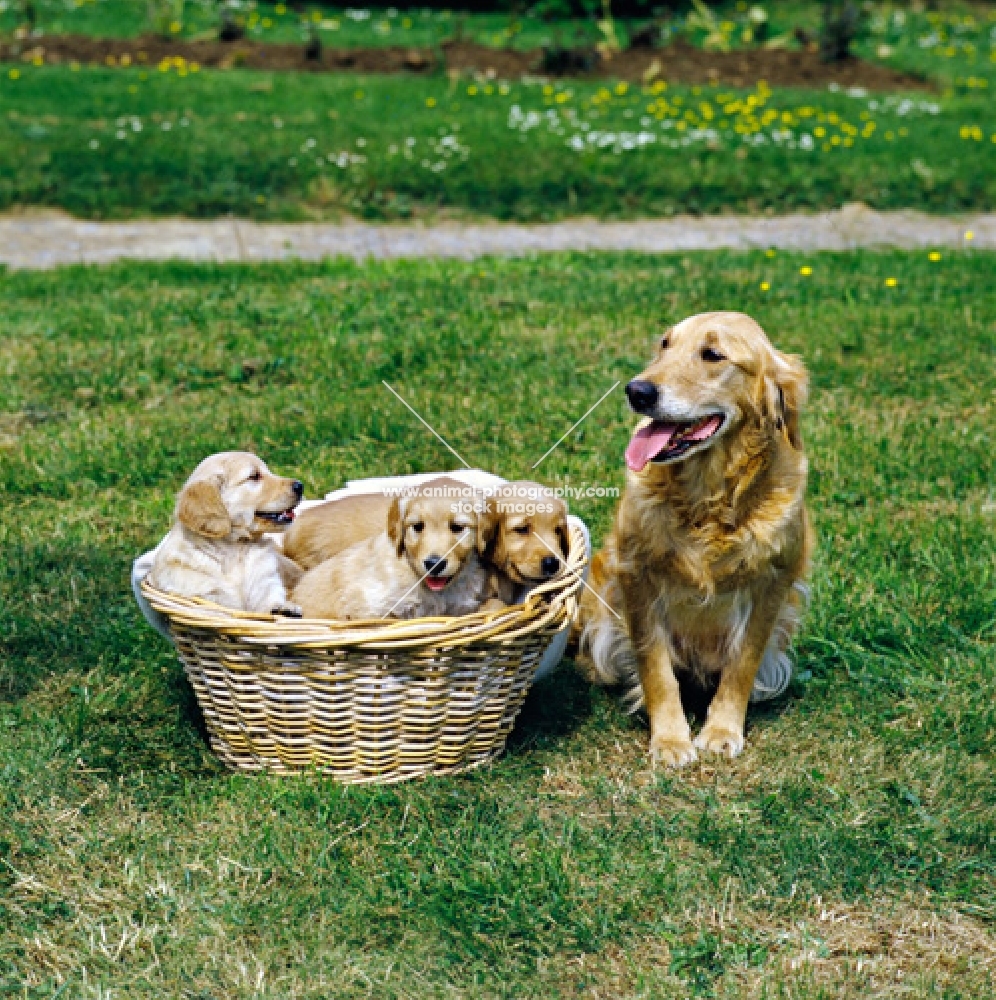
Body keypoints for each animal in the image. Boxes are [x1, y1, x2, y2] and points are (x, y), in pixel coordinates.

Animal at [580, 312, 812, 764]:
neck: (707, 500)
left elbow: (742, 664)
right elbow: (656, 668)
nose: (637, 391)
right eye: (664, 345)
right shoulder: (636, 576)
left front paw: (721, 730)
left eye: (713, 354)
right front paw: (670, 739)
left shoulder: (773, 583)